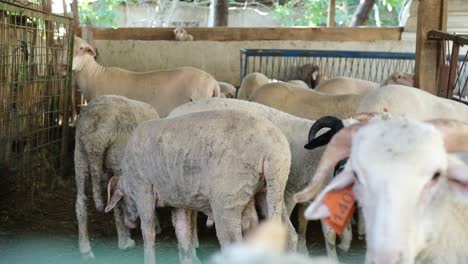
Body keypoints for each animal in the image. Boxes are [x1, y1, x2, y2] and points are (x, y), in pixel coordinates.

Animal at [74, 94, 160, 258]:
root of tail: (97, 135)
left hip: (80, 154)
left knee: (81, 200)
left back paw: (85, 250)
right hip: (119, 156)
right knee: (119, 200)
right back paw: (125, 242)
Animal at [104, 109, 298, 264]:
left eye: (121, 201)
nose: (129, 223)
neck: (128, 181)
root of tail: (273, 152)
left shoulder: (142, 188)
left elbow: (148, 231)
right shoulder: (178, 200)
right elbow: (182, 230)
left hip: (226, 198)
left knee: (234, 243)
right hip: (271, 189)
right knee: (288, 233)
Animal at [170, 98, 356, 258]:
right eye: (335, 140)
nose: (343, 169)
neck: (319, 157)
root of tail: (173, 112)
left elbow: (328, 235)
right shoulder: (288, 193)